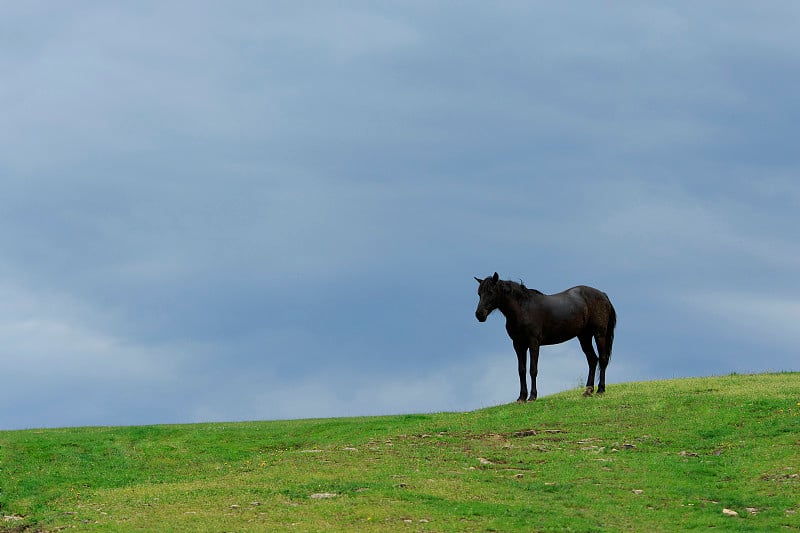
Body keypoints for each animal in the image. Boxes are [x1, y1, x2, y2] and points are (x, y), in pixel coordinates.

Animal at [476, 272, 620, 402]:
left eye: (490, 292)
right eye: (479, 293)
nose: (479, 314)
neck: (523, 309)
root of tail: (603, 295)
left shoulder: (533, 343)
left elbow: (533, 369)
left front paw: (532, 396)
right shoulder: (518, 344)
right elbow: (521, 370)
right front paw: (521, 397)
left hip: (599, 334)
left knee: (602, 359)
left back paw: (600, 390)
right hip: (584, 336)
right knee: (592, 360)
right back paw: (588, 390)